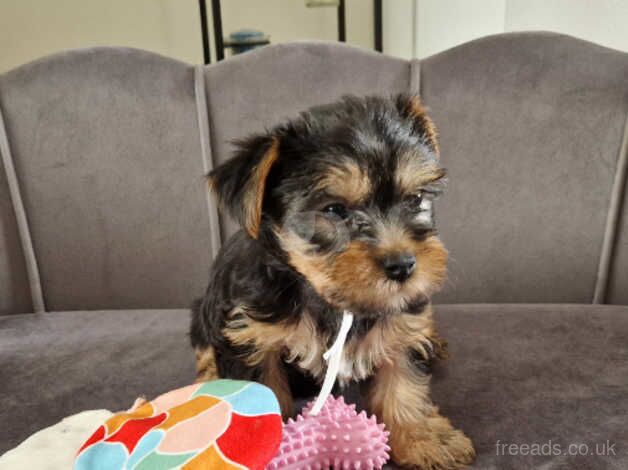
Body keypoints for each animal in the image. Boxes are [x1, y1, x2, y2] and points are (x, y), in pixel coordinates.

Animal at [191, 93, 476, 468]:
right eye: (335, 209)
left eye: (415, 199)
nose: (402, 266)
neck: (327, 297)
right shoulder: (249, 335)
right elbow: (260, 392)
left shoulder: (400, 321)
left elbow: (403, 384)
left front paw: (424, 438)